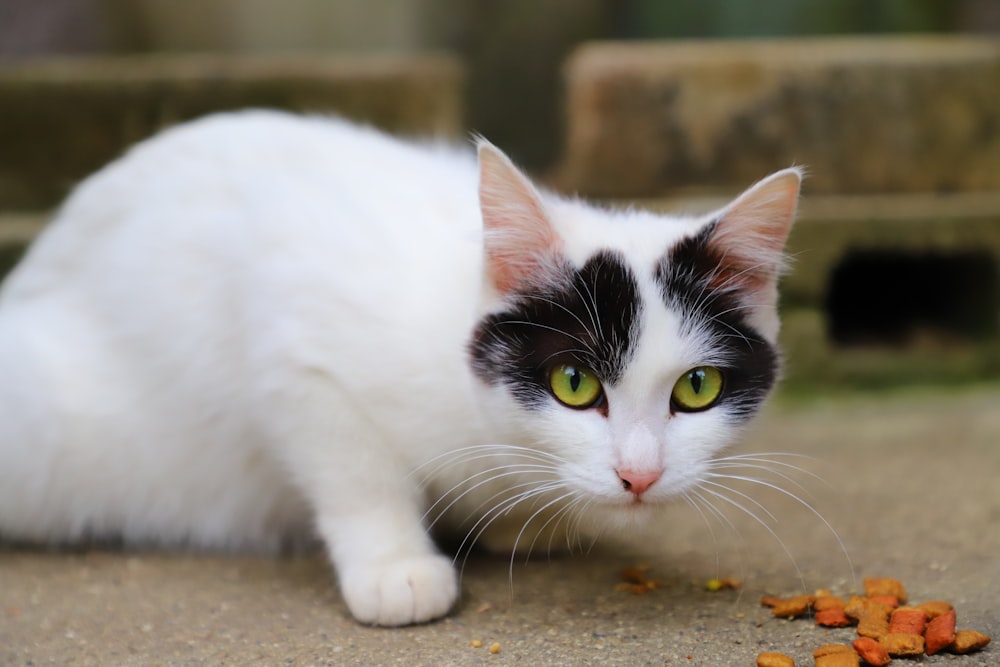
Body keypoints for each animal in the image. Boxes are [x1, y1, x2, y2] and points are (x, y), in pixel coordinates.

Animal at [0, 109, 800, 628]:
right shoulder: (294, 338)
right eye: (574, 384)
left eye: (697, 388)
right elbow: (355, 468)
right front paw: (394, 568)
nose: (639, 475)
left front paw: (528, 519)